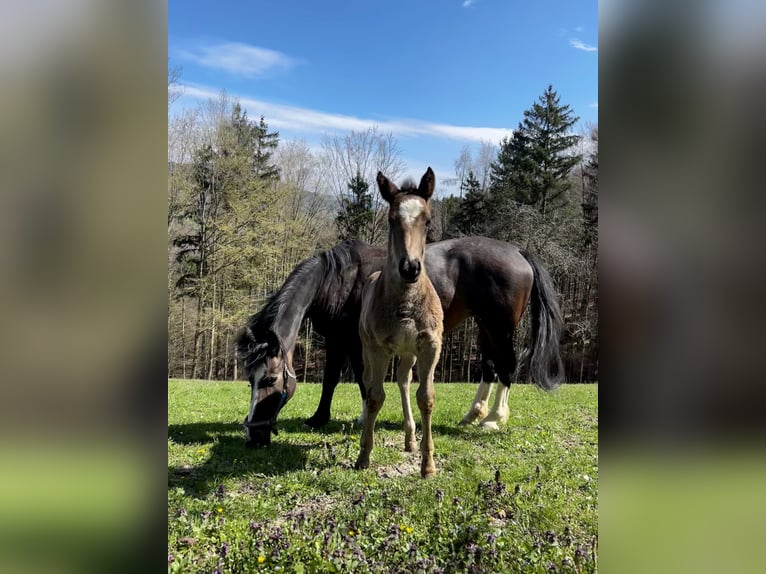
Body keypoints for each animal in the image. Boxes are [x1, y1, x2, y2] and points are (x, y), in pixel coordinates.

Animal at [237, 224, 564, 448]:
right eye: (249, 379)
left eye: (270, 379)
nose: (253, 435)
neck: (339, 280)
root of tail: (518, 252)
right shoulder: (341, 340)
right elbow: (338, 379)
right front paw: (327, 418)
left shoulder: (353, 342)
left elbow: (355, 379)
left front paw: (353, 417)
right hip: (485, 326)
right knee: (489, 367)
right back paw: (473, 415)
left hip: (500, 327)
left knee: (507, 366)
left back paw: (493, 419)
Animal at [354, 168, 443, 477]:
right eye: (392, 219)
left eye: (427, 220)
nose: (410, 268)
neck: (405, 303)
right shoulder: (378, 348)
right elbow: (375, 396)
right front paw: (363, 455)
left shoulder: (430, 346)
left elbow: (426, 397)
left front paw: (428, 465)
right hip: (368, 347)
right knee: (368, 383)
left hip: (408, 352)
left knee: (404, 381)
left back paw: (410, 438)